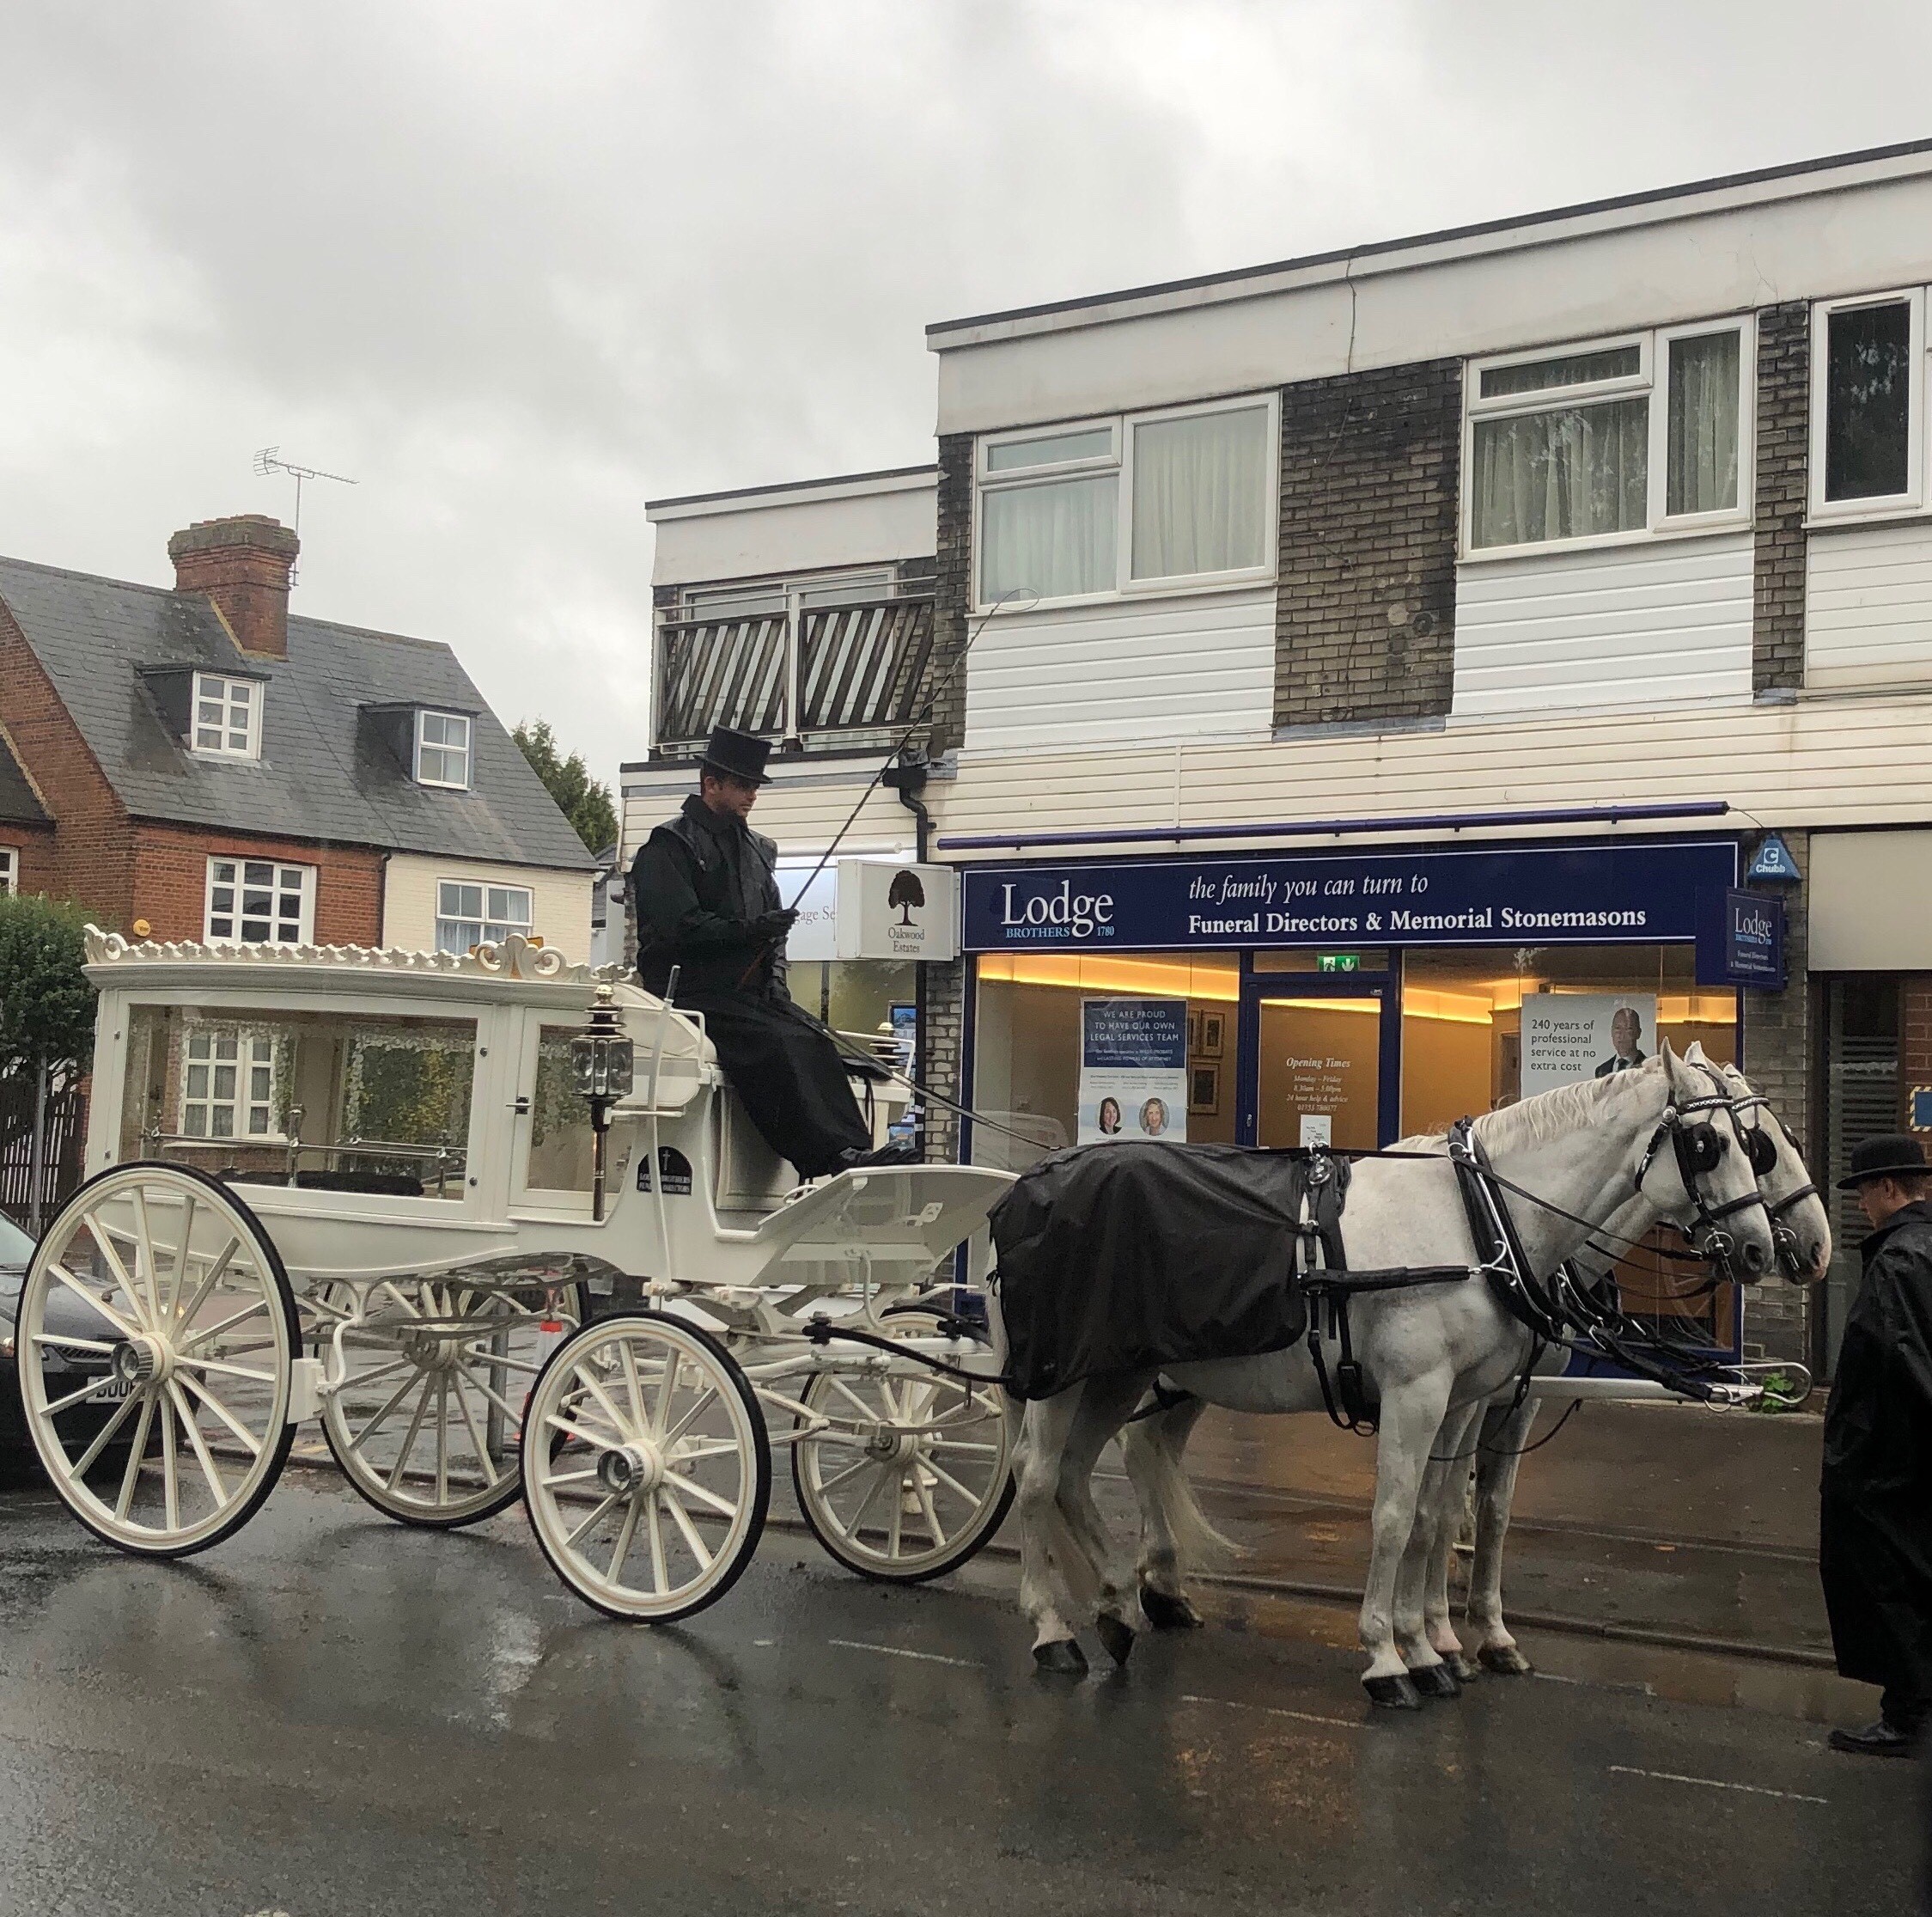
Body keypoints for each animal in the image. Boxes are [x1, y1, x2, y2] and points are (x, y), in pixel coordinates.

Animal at [1012, 1043, 1777, 1700]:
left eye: (1754, 1144)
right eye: (1709, 1143)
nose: (1762, 1249)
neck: (1476, 1217)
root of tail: (1033, 1181)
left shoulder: (1460, 1398)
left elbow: (1435, 1516)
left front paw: (1430, 1646)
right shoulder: (1417, 1392)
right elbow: (1394, 1515)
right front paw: (1387, 1655)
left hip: (1119, 1374)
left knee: (1085, 1468)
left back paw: (1121, 1601)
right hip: (1062, 1375)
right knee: (1038, 1475)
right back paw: (1051, 1626)